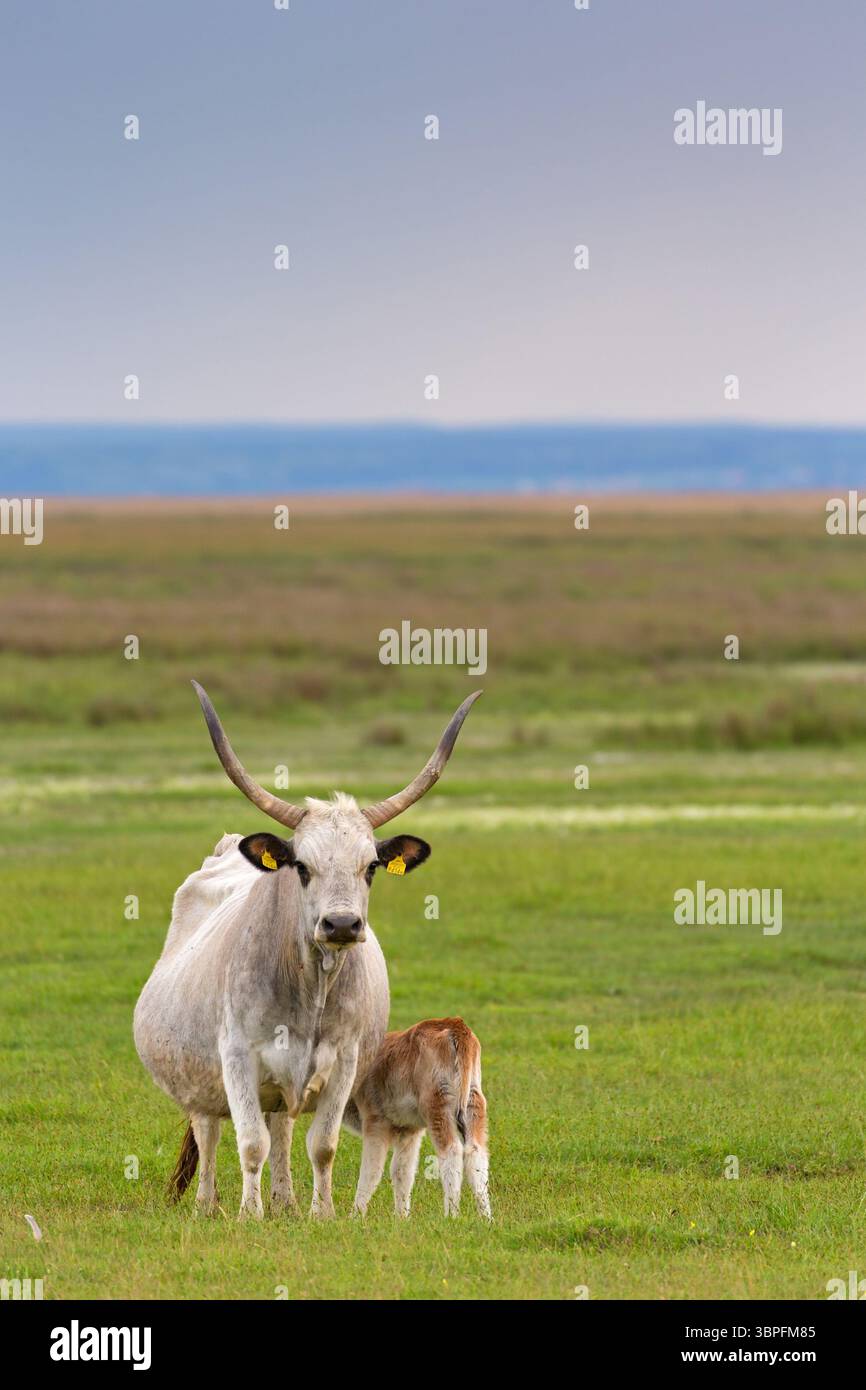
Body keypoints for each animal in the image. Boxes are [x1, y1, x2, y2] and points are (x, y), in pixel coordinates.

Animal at [344, 1017, 491, 1219]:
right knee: (476, 1153)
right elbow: (402, 1172)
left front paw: (355, 1216)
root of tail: (456, 1025)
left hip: (438, 1105)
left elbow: (371, 1170)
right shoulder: (409, 1130)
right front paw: (402, 1218)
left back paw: (451, 1216)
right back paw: (487, 1218)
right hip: (474, 1103)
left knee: (452, 1152)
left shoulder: (375, 1121)